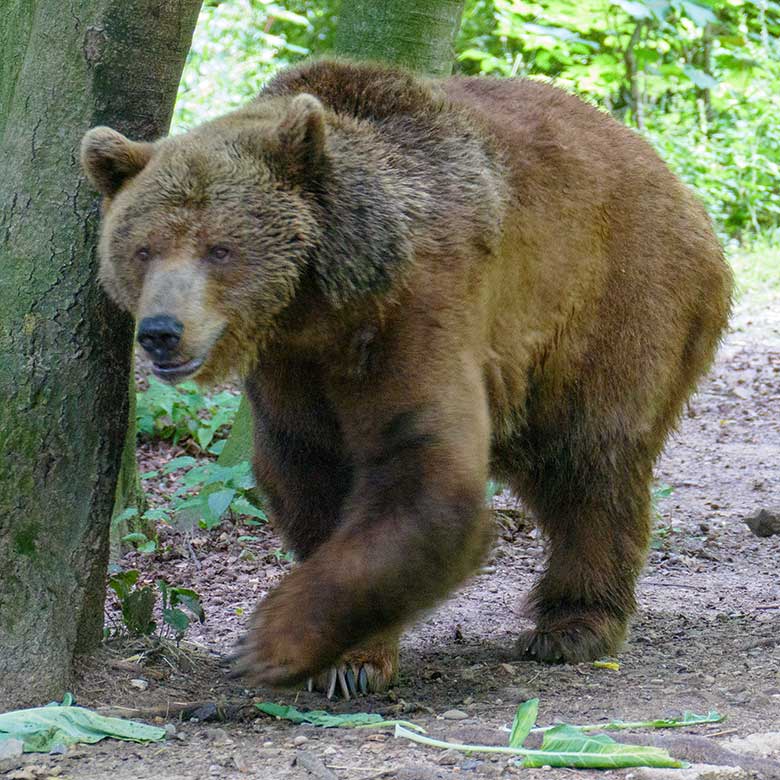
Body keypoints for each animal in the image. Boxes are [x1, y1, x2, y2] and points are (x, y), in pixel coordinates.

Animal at [80, 59, 732, 696]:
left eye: (220, 249)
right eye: (142, 249)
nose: (161, 331)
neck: (318, 308)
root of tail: (673, 180)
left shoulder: (418, 309)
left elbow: (422, 468)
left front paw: (285, 644)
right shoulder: (288, 373)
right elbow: (308, 476)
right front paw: (344, 658)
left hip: (616, 303)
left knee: (590, 463)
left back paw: (574, 624)